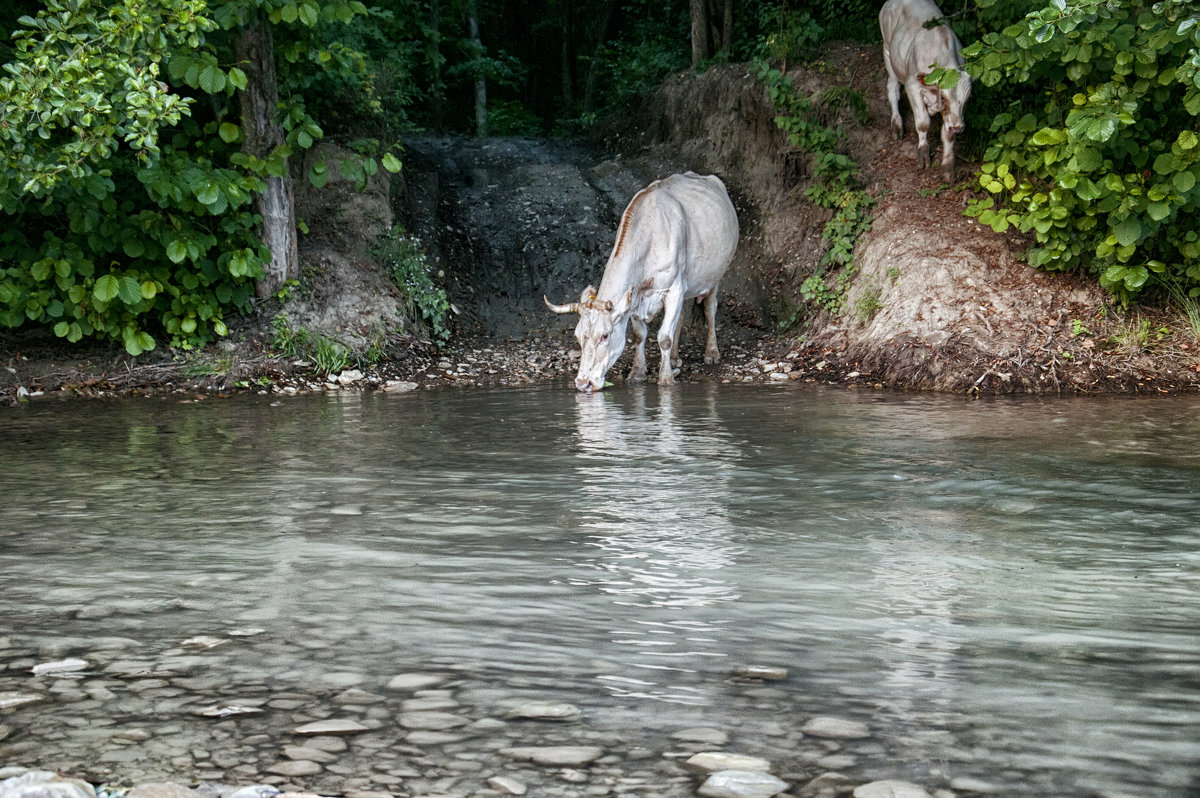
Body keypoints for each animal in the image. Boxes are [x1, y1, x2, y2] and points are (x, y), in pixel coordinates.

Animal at [547, 171, 734, 391]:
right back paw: (673, 358)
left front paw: (665, 378)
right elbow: (639, 335)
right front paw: (637, 372)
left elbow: (664, 337)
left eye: (605, 335)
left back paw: (711, 352)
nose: (583, 383)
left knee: (710, 309)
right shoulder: (636, 295)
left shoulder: (675, 288)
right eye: (577, 336)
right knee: (681, 316)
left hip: (715, 276)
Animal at [883, 0, 974, 180]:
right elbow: (923, 123)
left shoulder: (952, 116)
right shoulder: (913, 86)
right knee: (893, 89)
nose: (958, 127)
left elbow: (948, 134)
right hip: (888, 50)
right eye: (943, 97)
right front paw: (923, 153)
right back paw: (896, 124)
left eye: (967, 100)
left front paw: (948, 167)